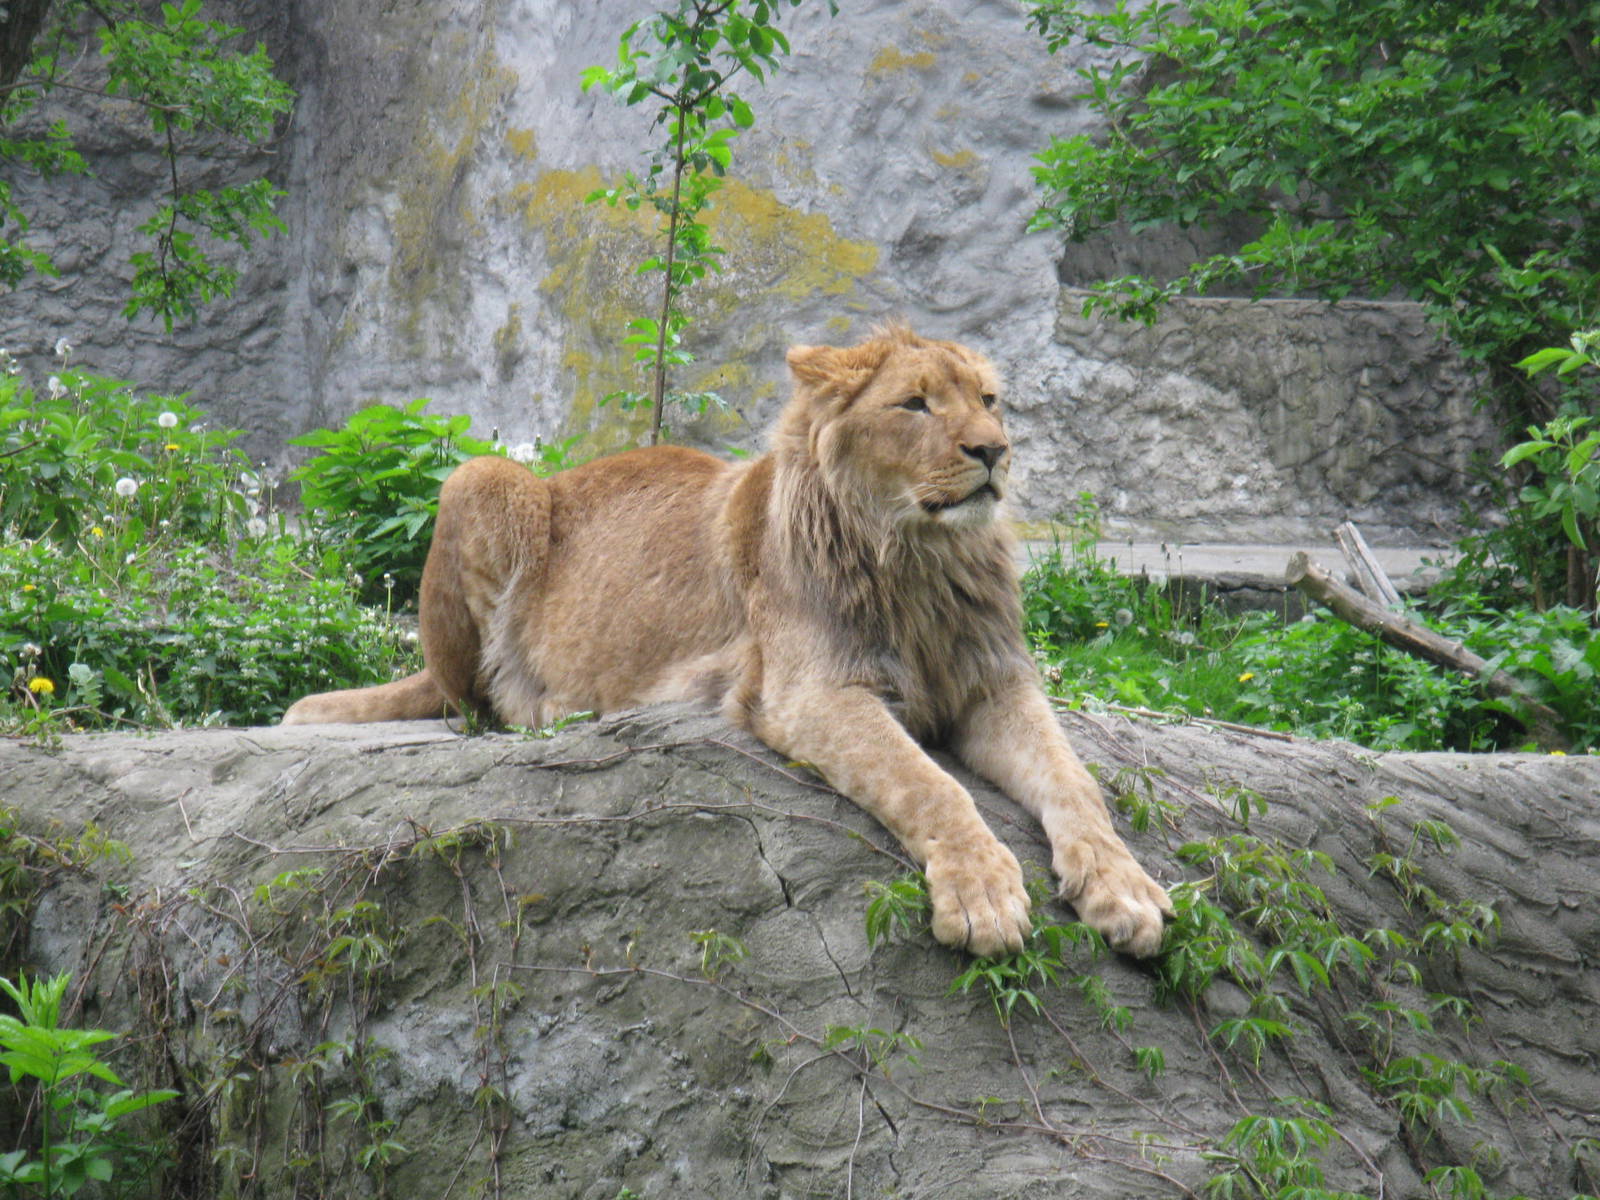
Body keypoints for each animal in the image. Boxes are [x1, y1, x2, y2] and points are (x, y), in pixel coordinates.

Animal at [283, 326, 1173, 958]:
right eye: (916, 405)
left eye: (990, 399)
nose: (994, 450)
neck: (919, 559)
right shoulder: (809, 692)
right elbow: (931, 786)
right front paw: (984, 895)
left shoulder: (995, 681)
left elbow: (1074, 782)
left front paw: (1125, 890)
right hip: (481, 477)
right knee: (463, 699)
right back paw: (544, 707)